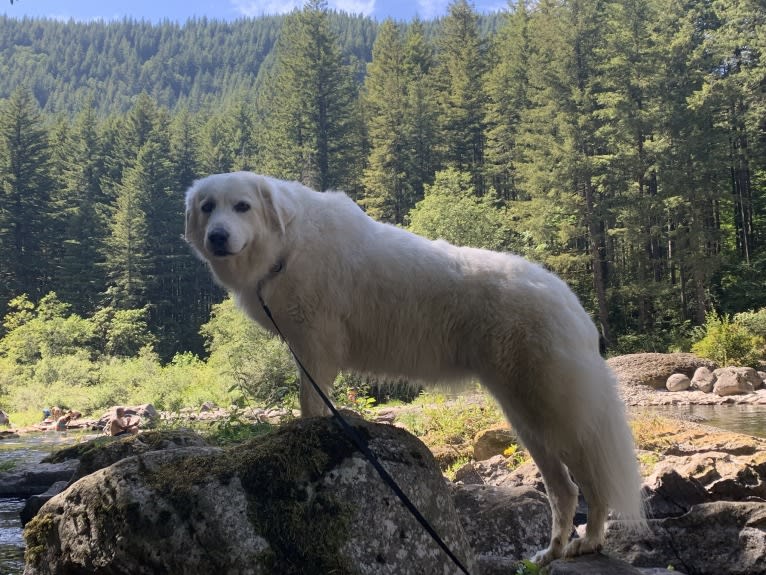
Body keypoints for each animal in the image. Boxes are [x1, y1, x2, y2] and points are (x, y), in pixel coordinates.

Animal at [188, 172, 648, 568]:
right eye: (208, 208)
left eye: (243, 206)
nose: (217, 237)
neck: (287, 245)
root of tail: (572, 303)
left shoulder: (314, 345)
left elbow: (310, 401)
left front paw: (304, 431)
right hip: (527, 420)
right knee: (563, 490)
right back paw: (551, 552)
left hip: (554, 414)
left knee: (593, 480)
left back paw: (589, 541)